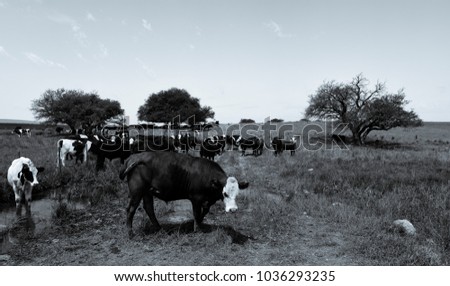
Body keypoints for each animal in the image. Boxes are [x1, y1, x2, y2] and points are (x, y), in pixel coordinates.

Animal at [118, 152, 250, 237]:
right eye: (225, 193)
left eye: (237, 193)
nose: (233, 209)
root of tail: (135, 157)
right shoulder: (196, 198)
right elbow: (196, 213)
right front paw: (197, 229)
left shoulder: (208, 200)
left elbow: (204, 212)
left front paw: (196, 224)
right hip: (137, 192)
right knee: (131, 209)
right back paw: (130, 233)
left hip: (147, 192)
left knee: (149, 208)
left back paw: (159, 229)